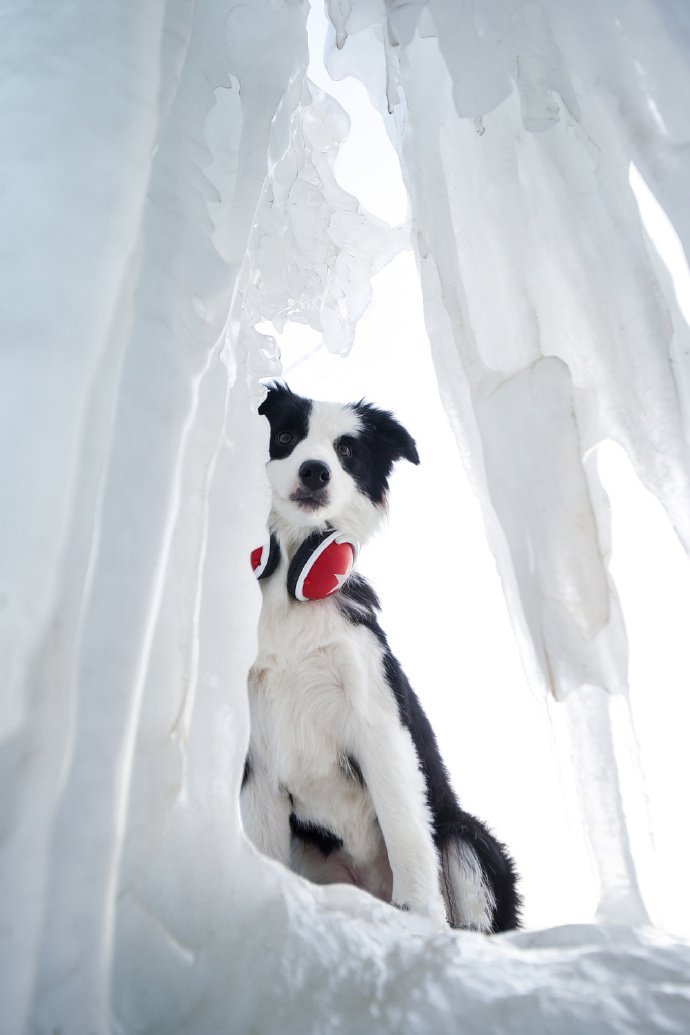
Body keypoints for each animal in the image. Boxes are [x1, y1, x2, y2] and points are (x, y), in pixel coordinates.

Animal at [242, 385, 517, 935]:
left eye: (347, 451)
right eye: (286, 436)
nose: (315, 471)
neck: (296, 593)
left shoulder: (379, 725)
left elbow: (405, 831)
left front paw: (416, 917)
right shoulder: (258, 755)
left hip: (465, 834)